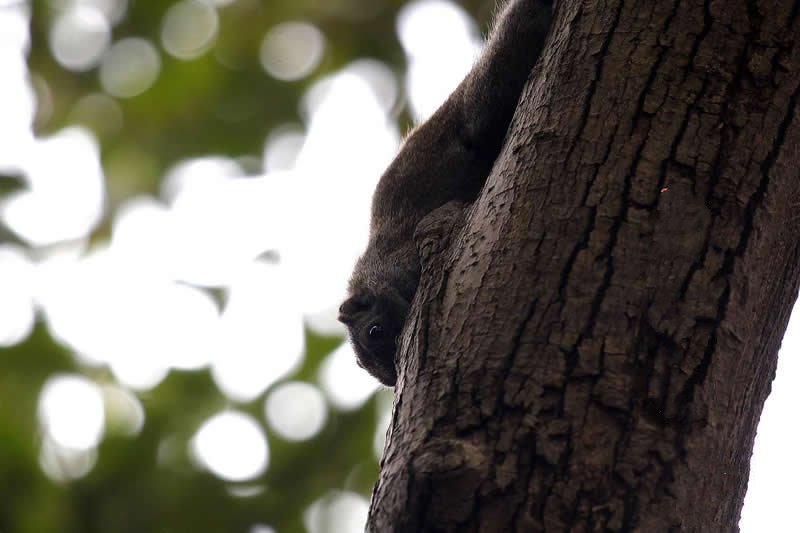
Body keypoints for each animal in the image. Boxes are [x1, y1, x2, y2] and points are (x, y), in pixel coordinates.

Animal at [340, 0, 556, 384]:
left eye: (374, 331)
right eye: (377, 374)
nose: (394, 370)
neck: (376, 271)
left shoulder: (404, 260)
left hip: (481, 106)